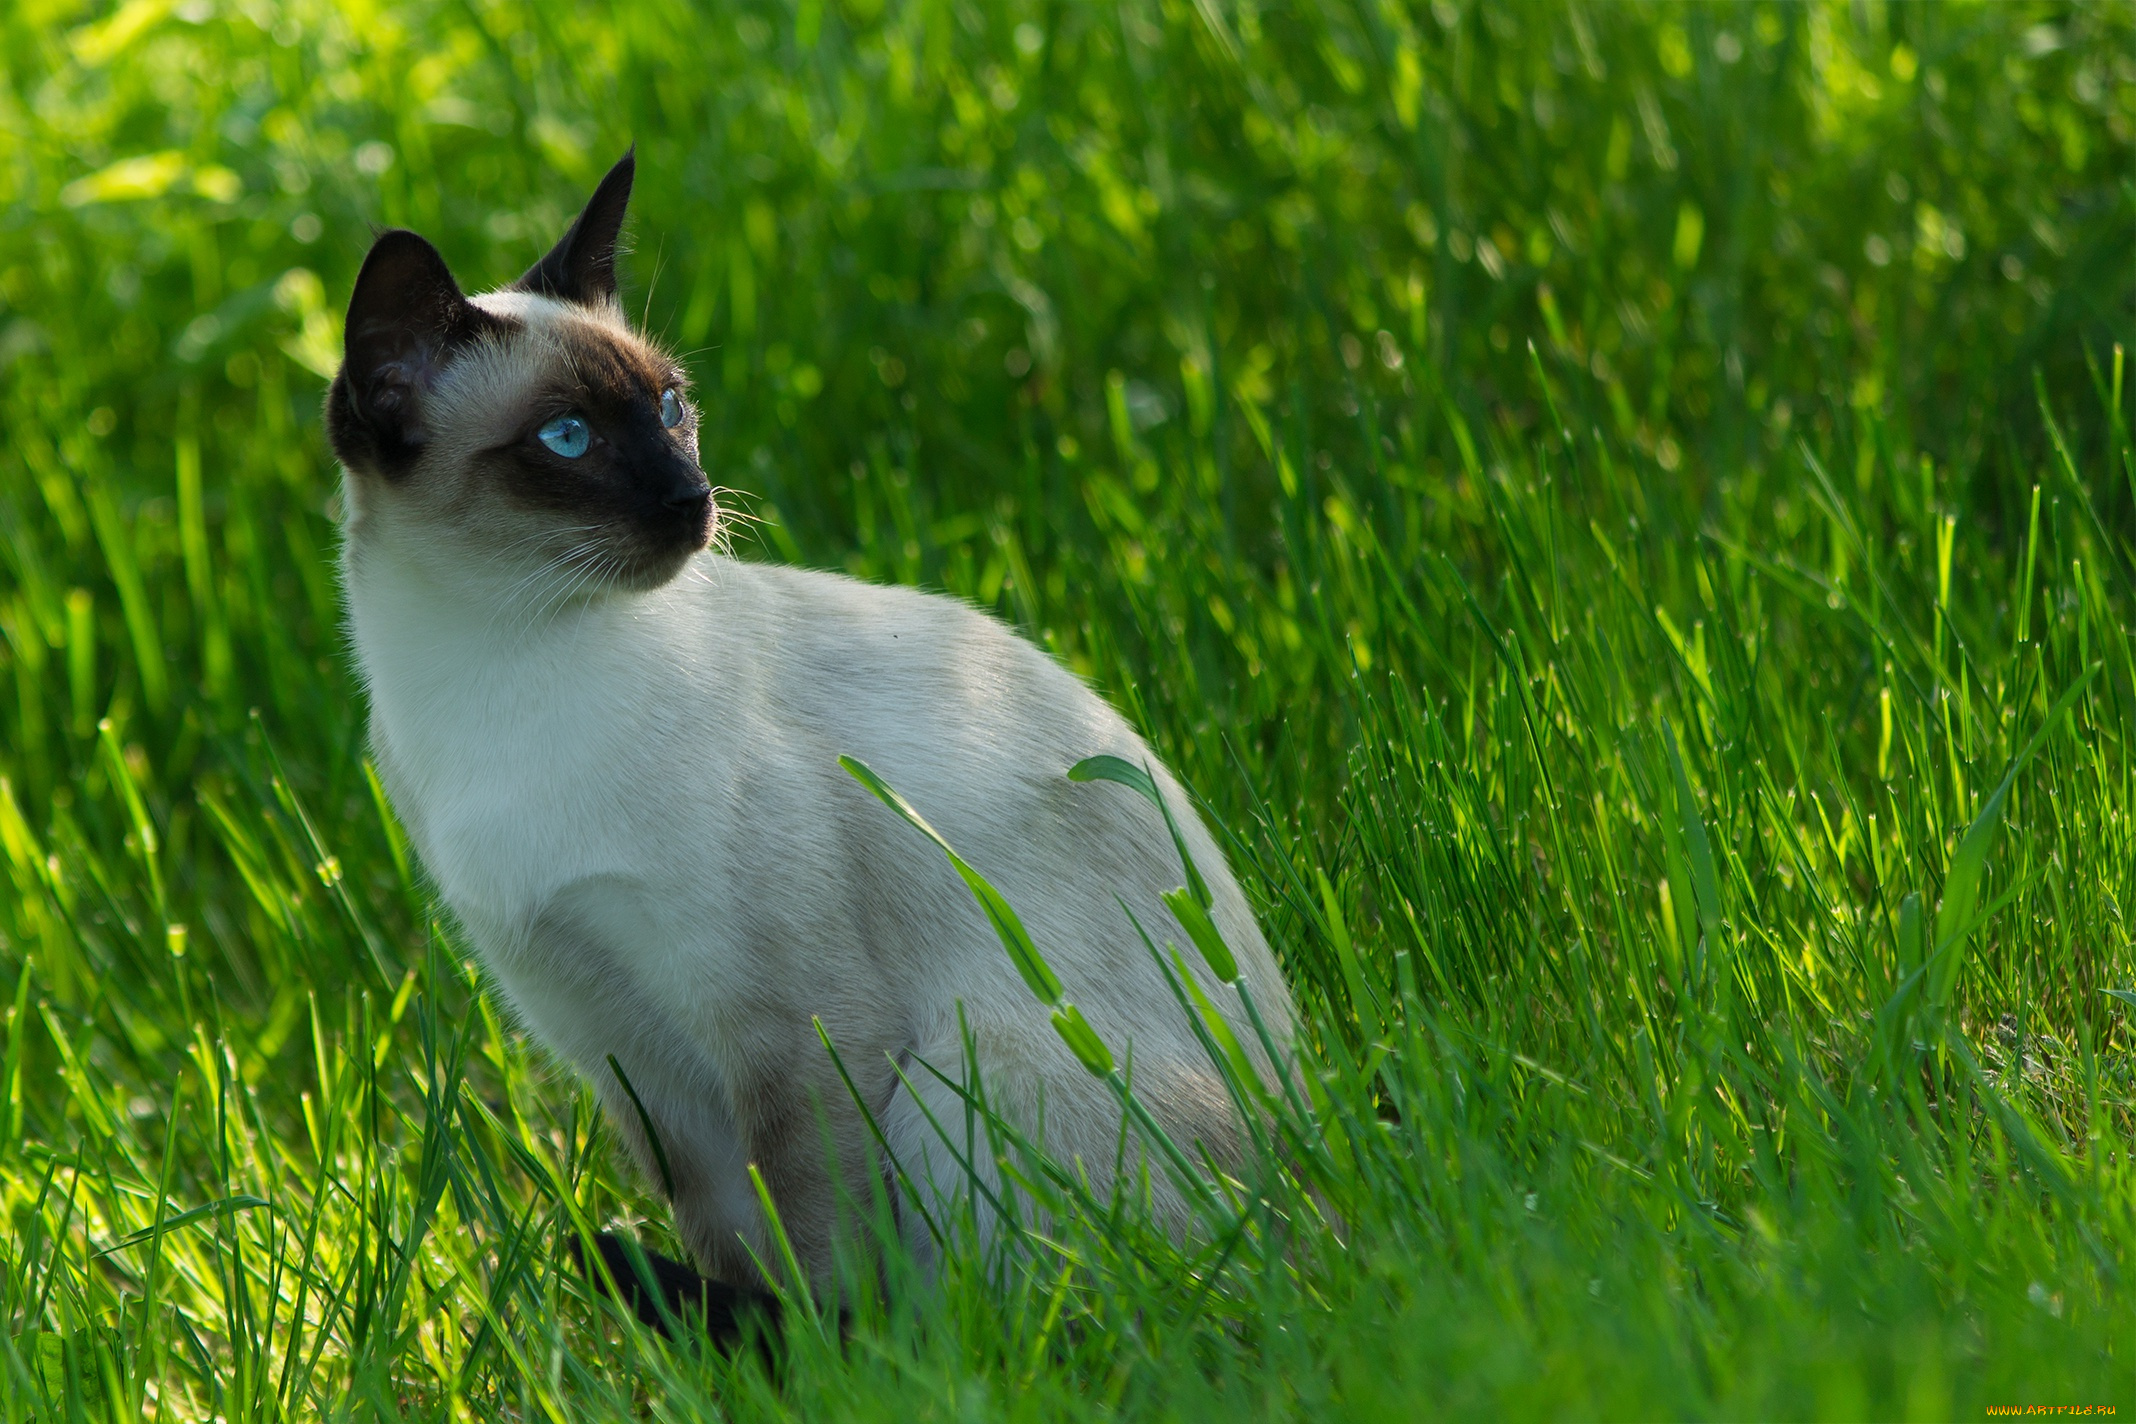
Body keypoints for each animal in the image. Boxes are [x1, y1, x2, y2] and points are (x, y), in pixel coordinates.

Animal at [324, 153, 1290, 1340]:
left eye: (670, 405)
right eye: (568, 439)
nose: (693, 499)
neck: (496, 678)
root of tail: (1327, 1207)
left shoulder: (790, 1033)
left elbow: (822, 1250)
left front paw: (829, 1358)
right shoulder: (621, 1038)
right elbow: (727, 1229)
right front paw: (733, 1353)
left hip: (973, 1067)